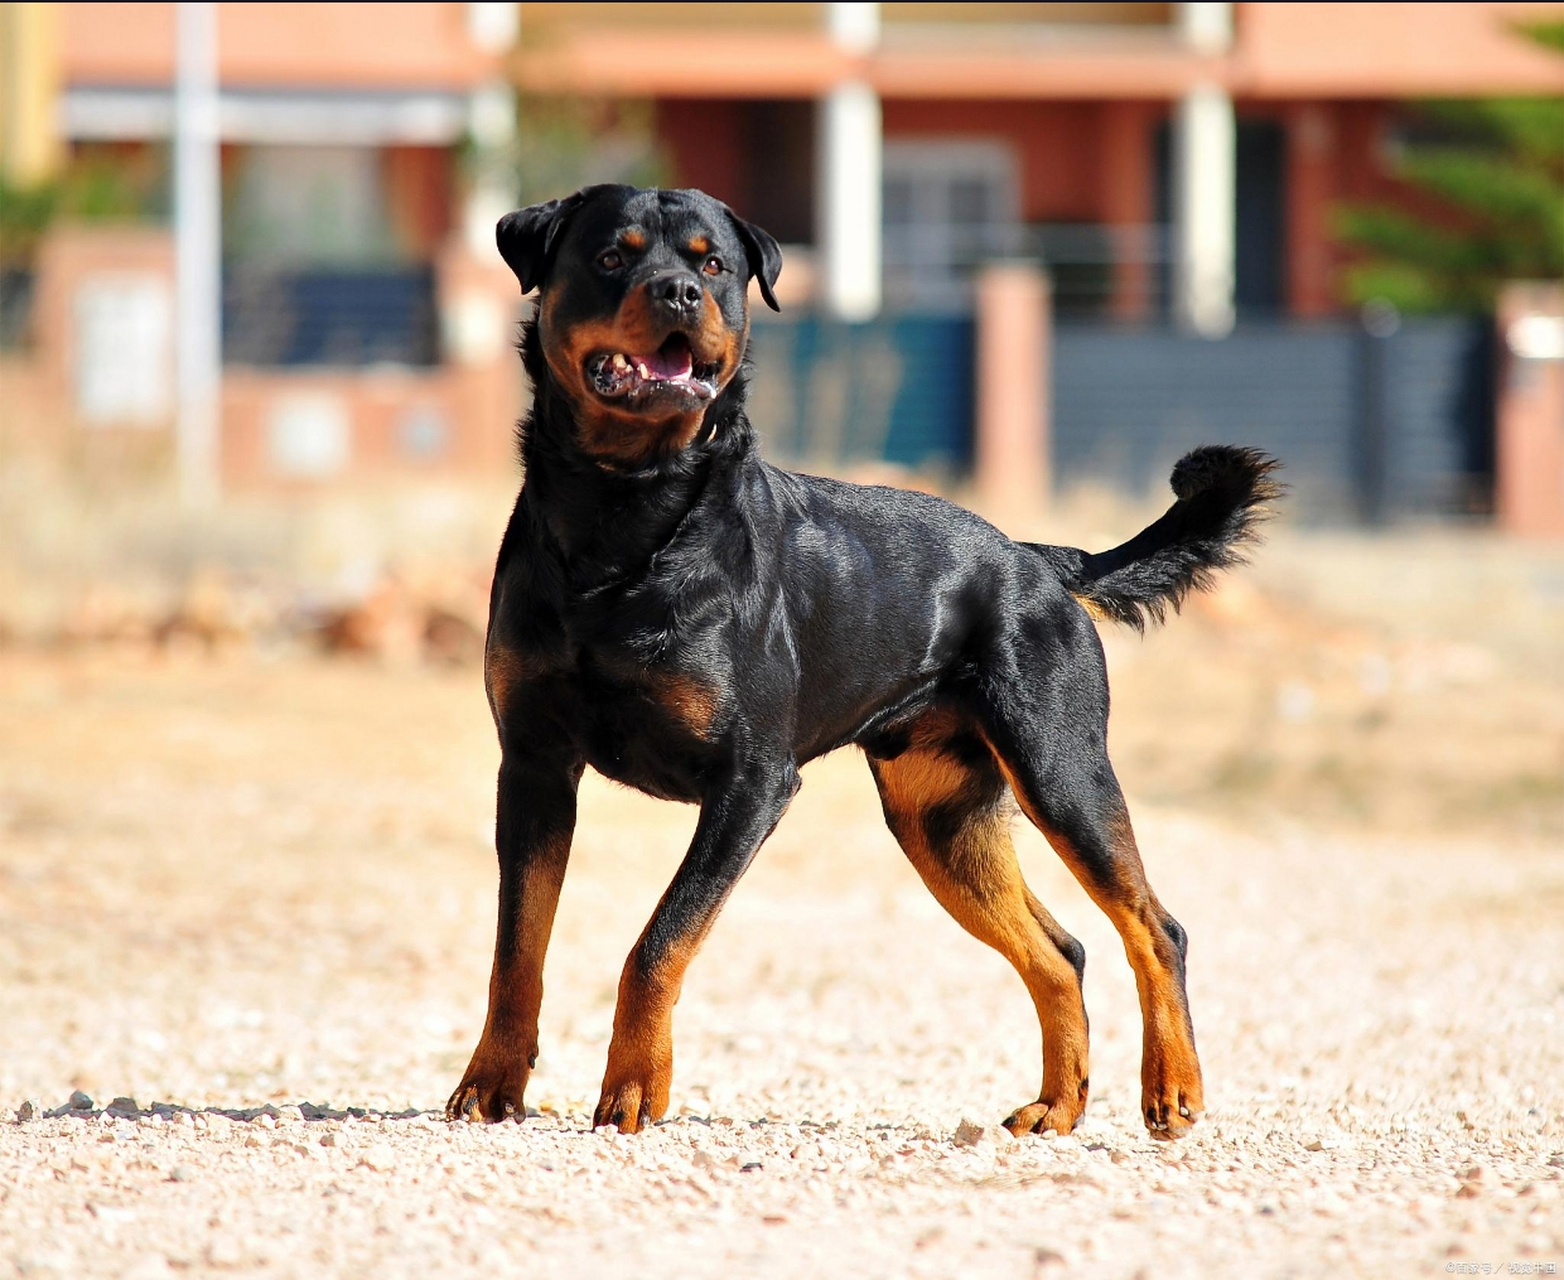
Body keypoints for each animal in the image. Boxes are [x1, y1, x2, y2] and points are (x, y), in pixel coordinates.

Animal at [444, 182, 1282, 1139]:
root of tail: (1035, 559)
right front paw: (492, 1085)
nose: (679, 295)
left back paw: (1172, 1088)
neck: (625, 513)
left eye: (711, 264)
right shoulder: (535, 766)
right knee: (1059, 948)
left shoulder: (751, 784)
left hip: (1060, 770)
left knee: (1153, 926)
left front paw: (632, 1089)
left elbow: (658, 940)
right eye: (612, 256)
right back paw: (1056, 1106)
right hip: (940, 819)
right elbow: (517, 948)